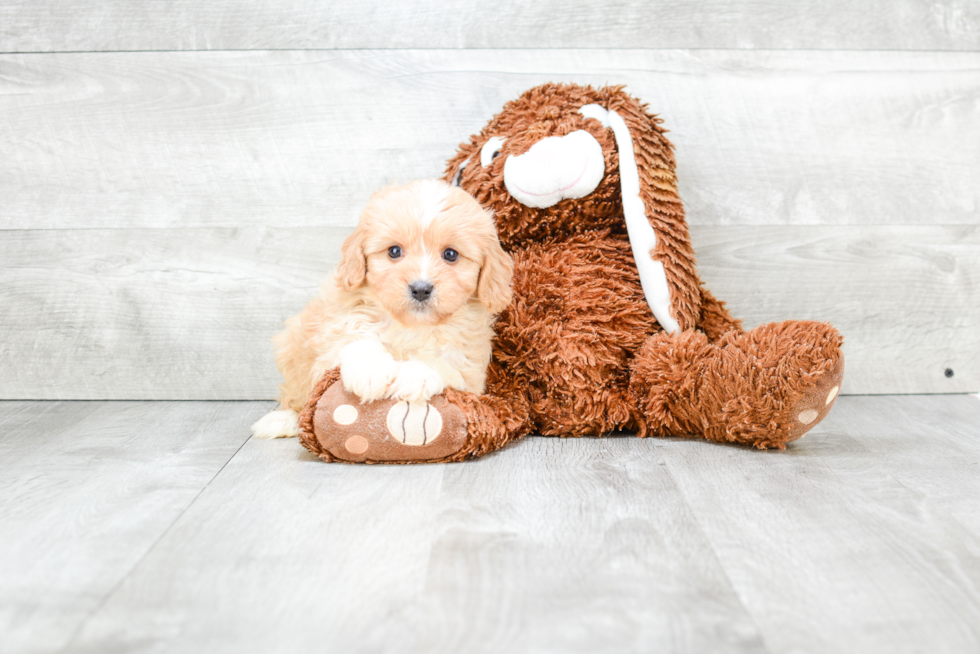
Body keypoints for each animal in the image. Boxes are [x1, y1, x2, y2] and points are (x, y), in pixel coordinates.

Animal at [251, 179, 512, 440]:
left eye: (450, 254)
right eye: (394, 251)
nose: (420, 289)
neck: (412, 326)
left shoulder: (471, 371)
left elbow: (444, 362)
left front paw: (415, 375)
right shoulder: (337, 327)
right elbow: (355, 339)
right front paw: (370, 371)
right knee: (296, 397)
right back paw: (282, 420)